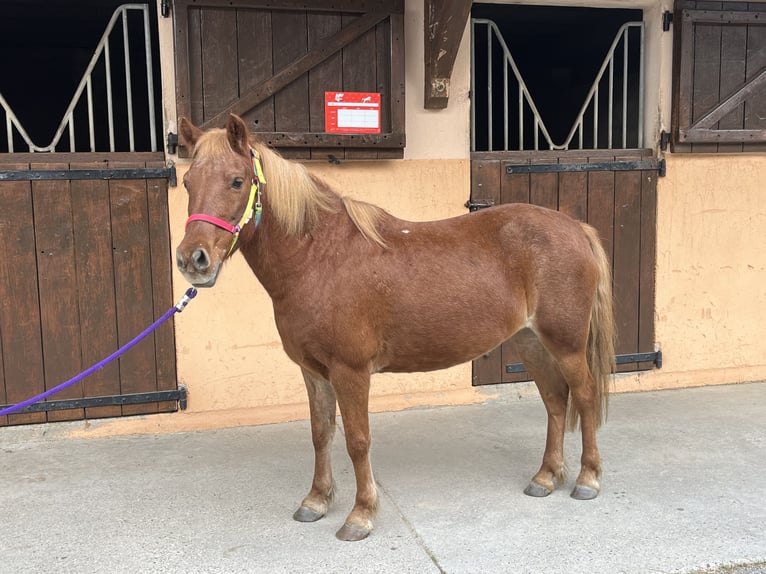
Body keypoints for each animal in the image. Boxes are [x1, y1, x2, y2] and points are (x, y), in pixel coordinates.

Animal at [176, 115, 616, 544]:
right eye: (187, 182)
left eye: (237, 181)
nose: (192, 259)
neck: (319, 258)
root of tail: (576, 228)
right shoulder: (312, 371)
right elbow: (321, 434)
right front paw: (316, 500)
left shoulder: (350, 372)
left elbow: (357, 441)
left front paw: (360, 515)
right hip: (530, 342)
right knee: (556, 400)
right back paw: (546, 477)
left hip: (566, 344)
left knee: (584, 396)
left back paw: (587, 479)